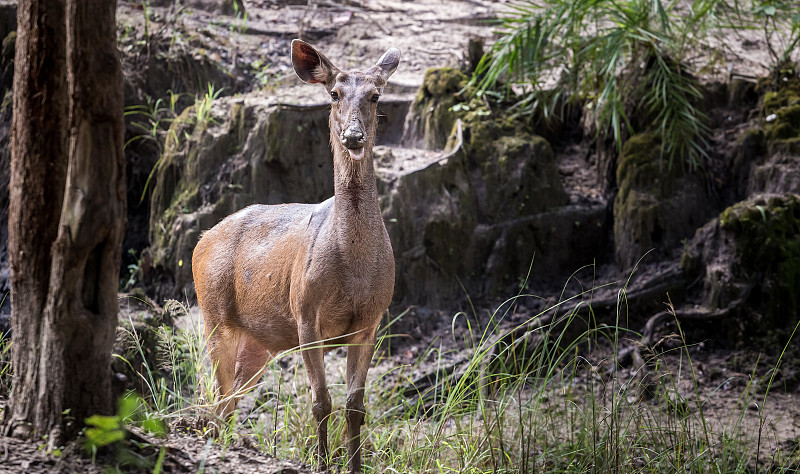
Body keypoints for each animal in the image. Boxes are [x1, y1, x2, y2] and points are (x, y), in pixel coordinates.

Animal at [191, 40, 396, 474]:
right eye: (334, 93)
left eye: (375, 95)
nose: (353, 136)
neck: (354, 270)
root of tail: (200, 241)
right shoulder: (305, 312)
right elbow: (321, 402)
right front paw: (321, 464)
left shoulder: (372, 322)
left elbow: (356, 407)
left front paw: (353, 465)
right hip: (214, 315)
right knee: (217, 397)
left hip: (257, 345)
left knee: (227, 401)